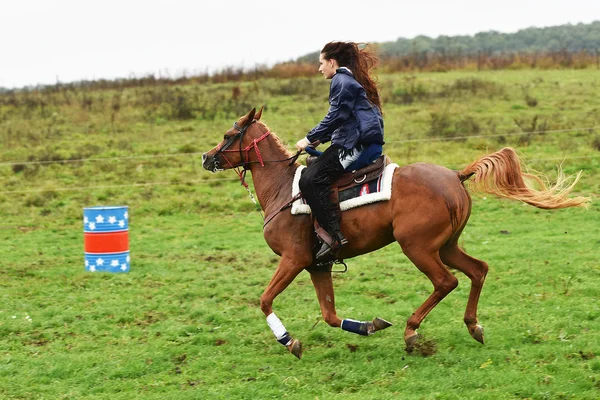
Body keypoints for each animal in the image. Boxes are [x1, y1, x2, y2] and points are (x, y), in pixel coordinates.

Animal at [202, 108, 584, 358]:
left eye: (228, 135)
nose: (207, 157)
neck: (284, 189)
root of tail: (455, 175)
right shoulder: (317, 265)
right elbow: (330, 315)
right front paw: (368, 326)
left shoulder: (294, 260)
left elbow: (265, 299)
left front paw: (288, 340)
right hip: (446, 246)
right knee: (478, 270)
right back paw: (472, 325)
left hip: (417, 247)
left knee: (446, 281)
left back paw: (412, 331)